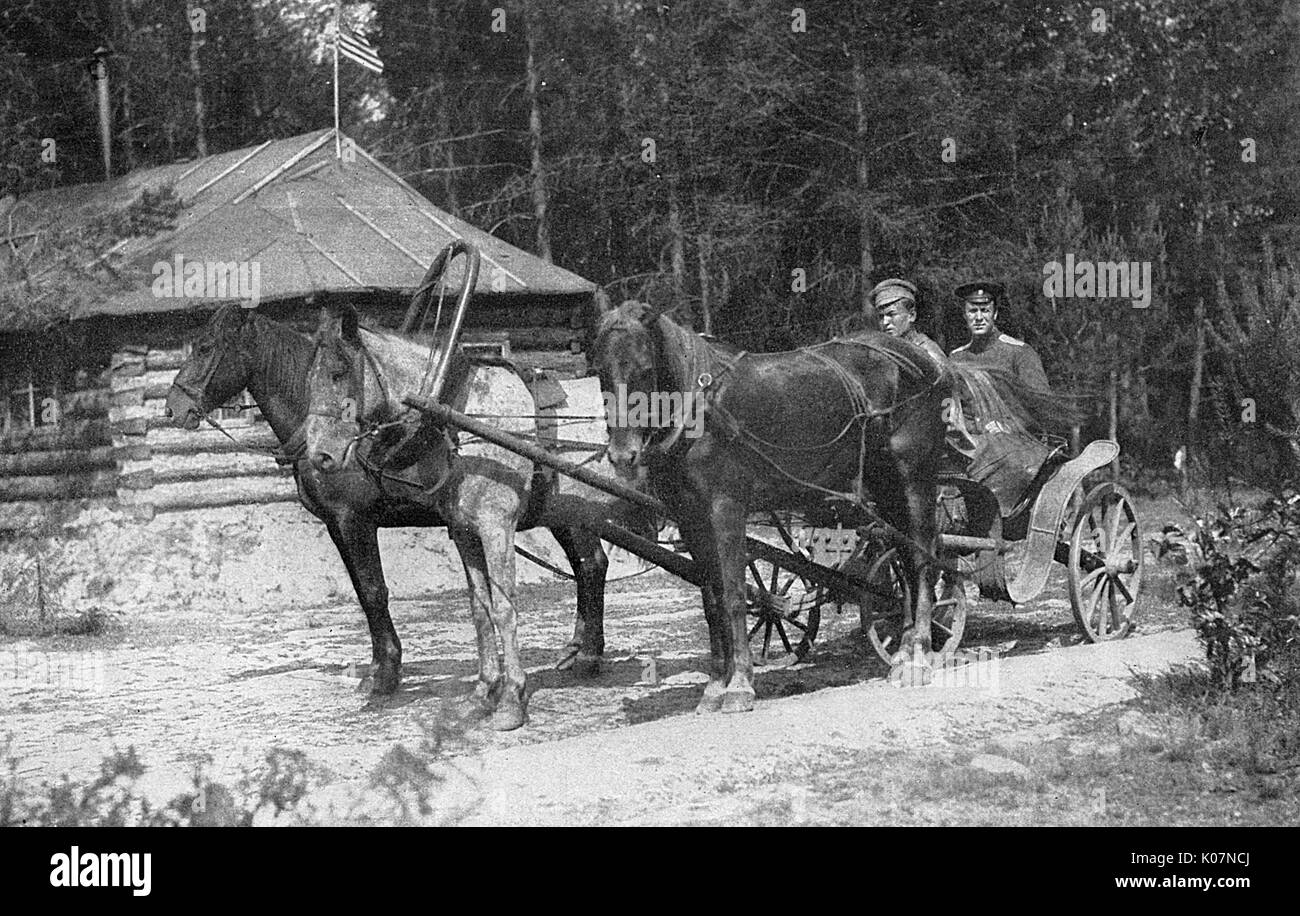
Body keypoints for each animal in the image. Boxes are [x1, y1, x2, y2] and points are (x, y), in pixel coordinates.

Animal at [161, 304, 608, 712]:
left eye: (205, 347)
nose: (172, 409)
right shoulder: (337, 526)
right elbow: (363, 593)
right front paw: (379, 667)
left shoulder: (353, 521)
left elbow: (374, 592)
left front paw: (386, 675)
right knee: (590, 565)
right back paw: (579, 651)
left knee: (590, 565)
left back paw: (587, 655)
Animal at [296, 301, 639, 727]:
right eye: (309, 379)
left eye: (339, 373)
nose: (319, 457)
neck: (457, 415)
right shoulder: (464, 532)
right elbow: (480, 609)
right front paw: (483, 691)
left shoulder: (496, 528)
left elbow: (505, 609)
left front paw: (511, 699)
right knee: (591, 565)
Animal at [590, 298, 956, 706]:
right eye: (601, 372)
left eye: (645, 370)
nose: (623, 455)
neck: (702, 410)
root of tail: (928, 365)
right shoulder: (691, 518)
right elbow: (711, 599)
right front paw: (715, 684)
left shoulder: (727, 509)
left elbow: (733, 594)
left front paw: (739, 685)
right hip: (886, 486)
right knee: (904, 562)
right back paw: (904, 651)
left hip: (914, 480)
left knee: (922, 561)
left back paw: (918, 656)